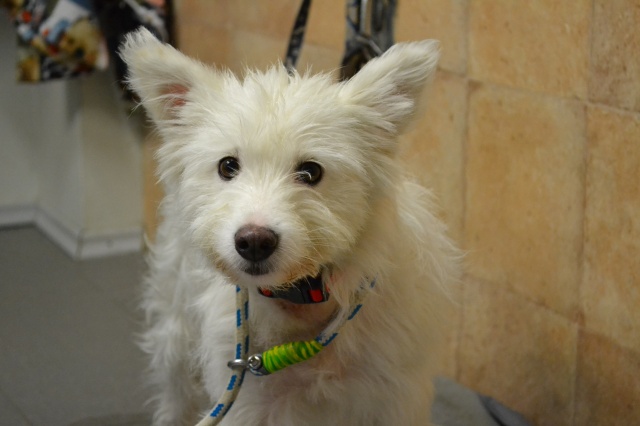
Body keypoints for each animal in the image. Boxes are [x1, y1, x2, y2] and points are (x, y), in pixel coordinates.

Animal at [120, 27, 460, 426]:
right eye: (227, 166)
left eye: (311, 171)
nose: (253, 241)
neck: (304, 297)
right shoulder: (250, 403)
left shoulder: (394, 399)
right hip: (175, 331)